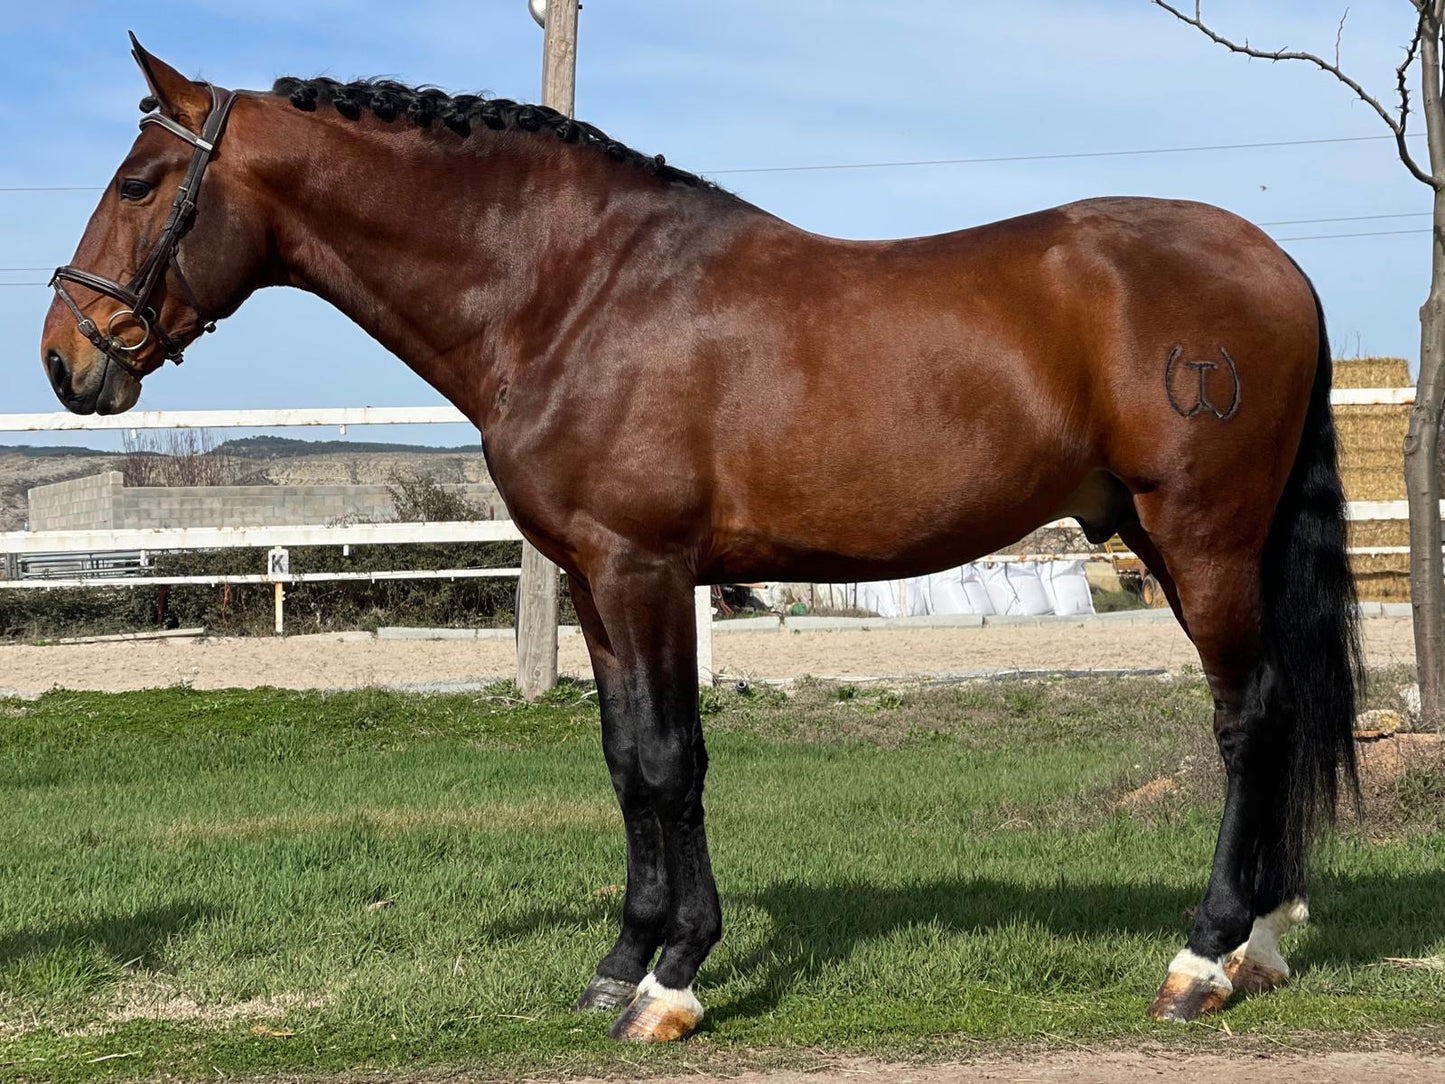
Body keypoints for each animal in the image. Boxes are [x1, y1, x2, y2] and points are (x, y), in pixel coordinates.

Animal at [40, 37, 1362, 1041]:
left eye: (143, 182)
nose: (63, 357)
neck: (573, 291)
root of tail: (1277, 265)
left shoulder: (644, 568)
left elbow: (673, 762)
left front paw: (672, 984)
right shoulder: (593, 578)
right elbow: (628, 761)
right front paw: (617, 965)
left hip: (1200, 538)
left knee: (1248, 719)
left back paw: (1199, 959)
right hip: (1176, 542)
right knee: (1278, 713)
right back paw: (1261, 943)